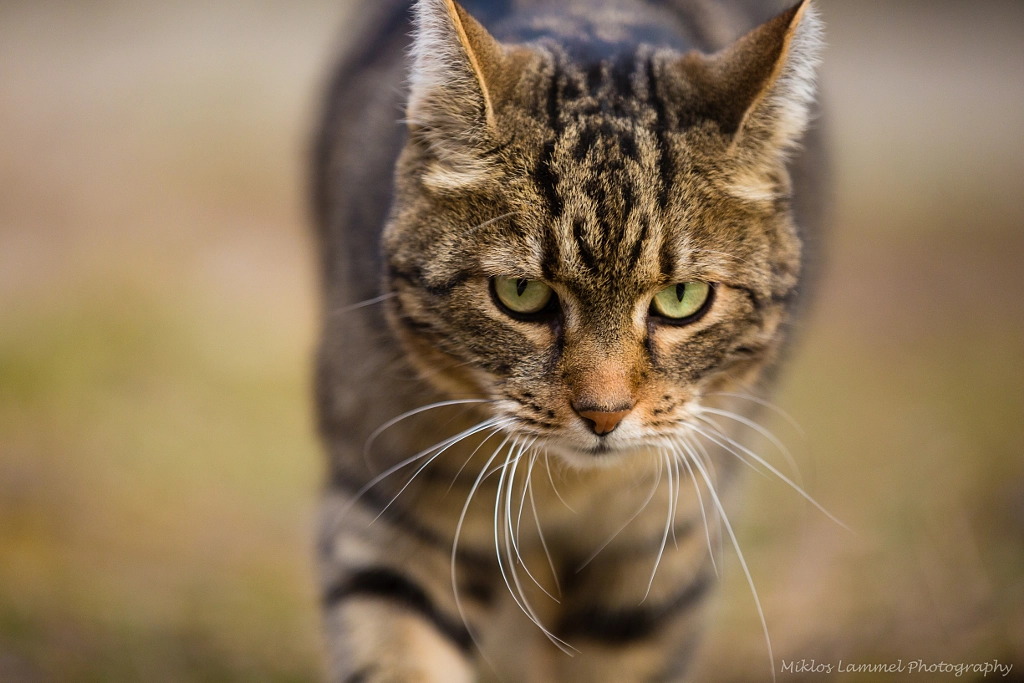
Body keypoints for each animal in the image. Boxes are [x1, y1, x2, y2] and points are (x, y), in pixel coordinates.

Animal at [309, 0, 823, 679]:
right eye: (521, 292)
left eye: (682, 298)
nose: (603, 415)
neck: (568, 493)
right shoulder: (394, 515)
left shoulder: (662, 557)